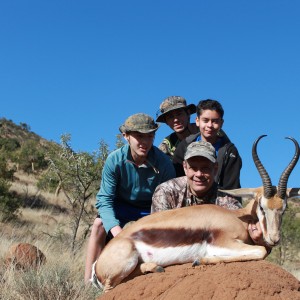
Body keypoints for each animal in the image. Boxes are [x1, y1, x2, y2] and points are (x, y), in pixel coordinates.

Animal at [94, 135, 300, 290]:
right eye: (262, 207)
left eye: (284, 209)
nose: (274, 239)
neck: (236, 218)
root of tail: (98, 264)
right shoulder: (222, 243)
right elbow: (261, 250)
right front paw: (200, 260)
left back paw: (157, 267)